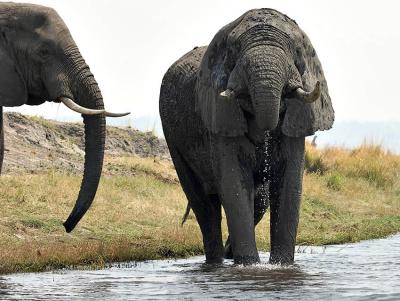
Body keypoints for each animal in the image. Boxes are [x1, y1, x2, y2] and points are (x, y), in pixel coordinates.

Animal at [159, 8, 334, 264]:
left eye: (297, 51)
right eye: (234, 49)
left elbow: (289, 184)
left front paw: (280, 265)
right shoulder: (219, 115)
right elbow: (234, 183)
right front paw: (249, 265)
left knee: (258, 201)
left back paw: (228, 255)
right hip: (173, 136)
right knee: (204, 205)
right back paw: (217, 262)